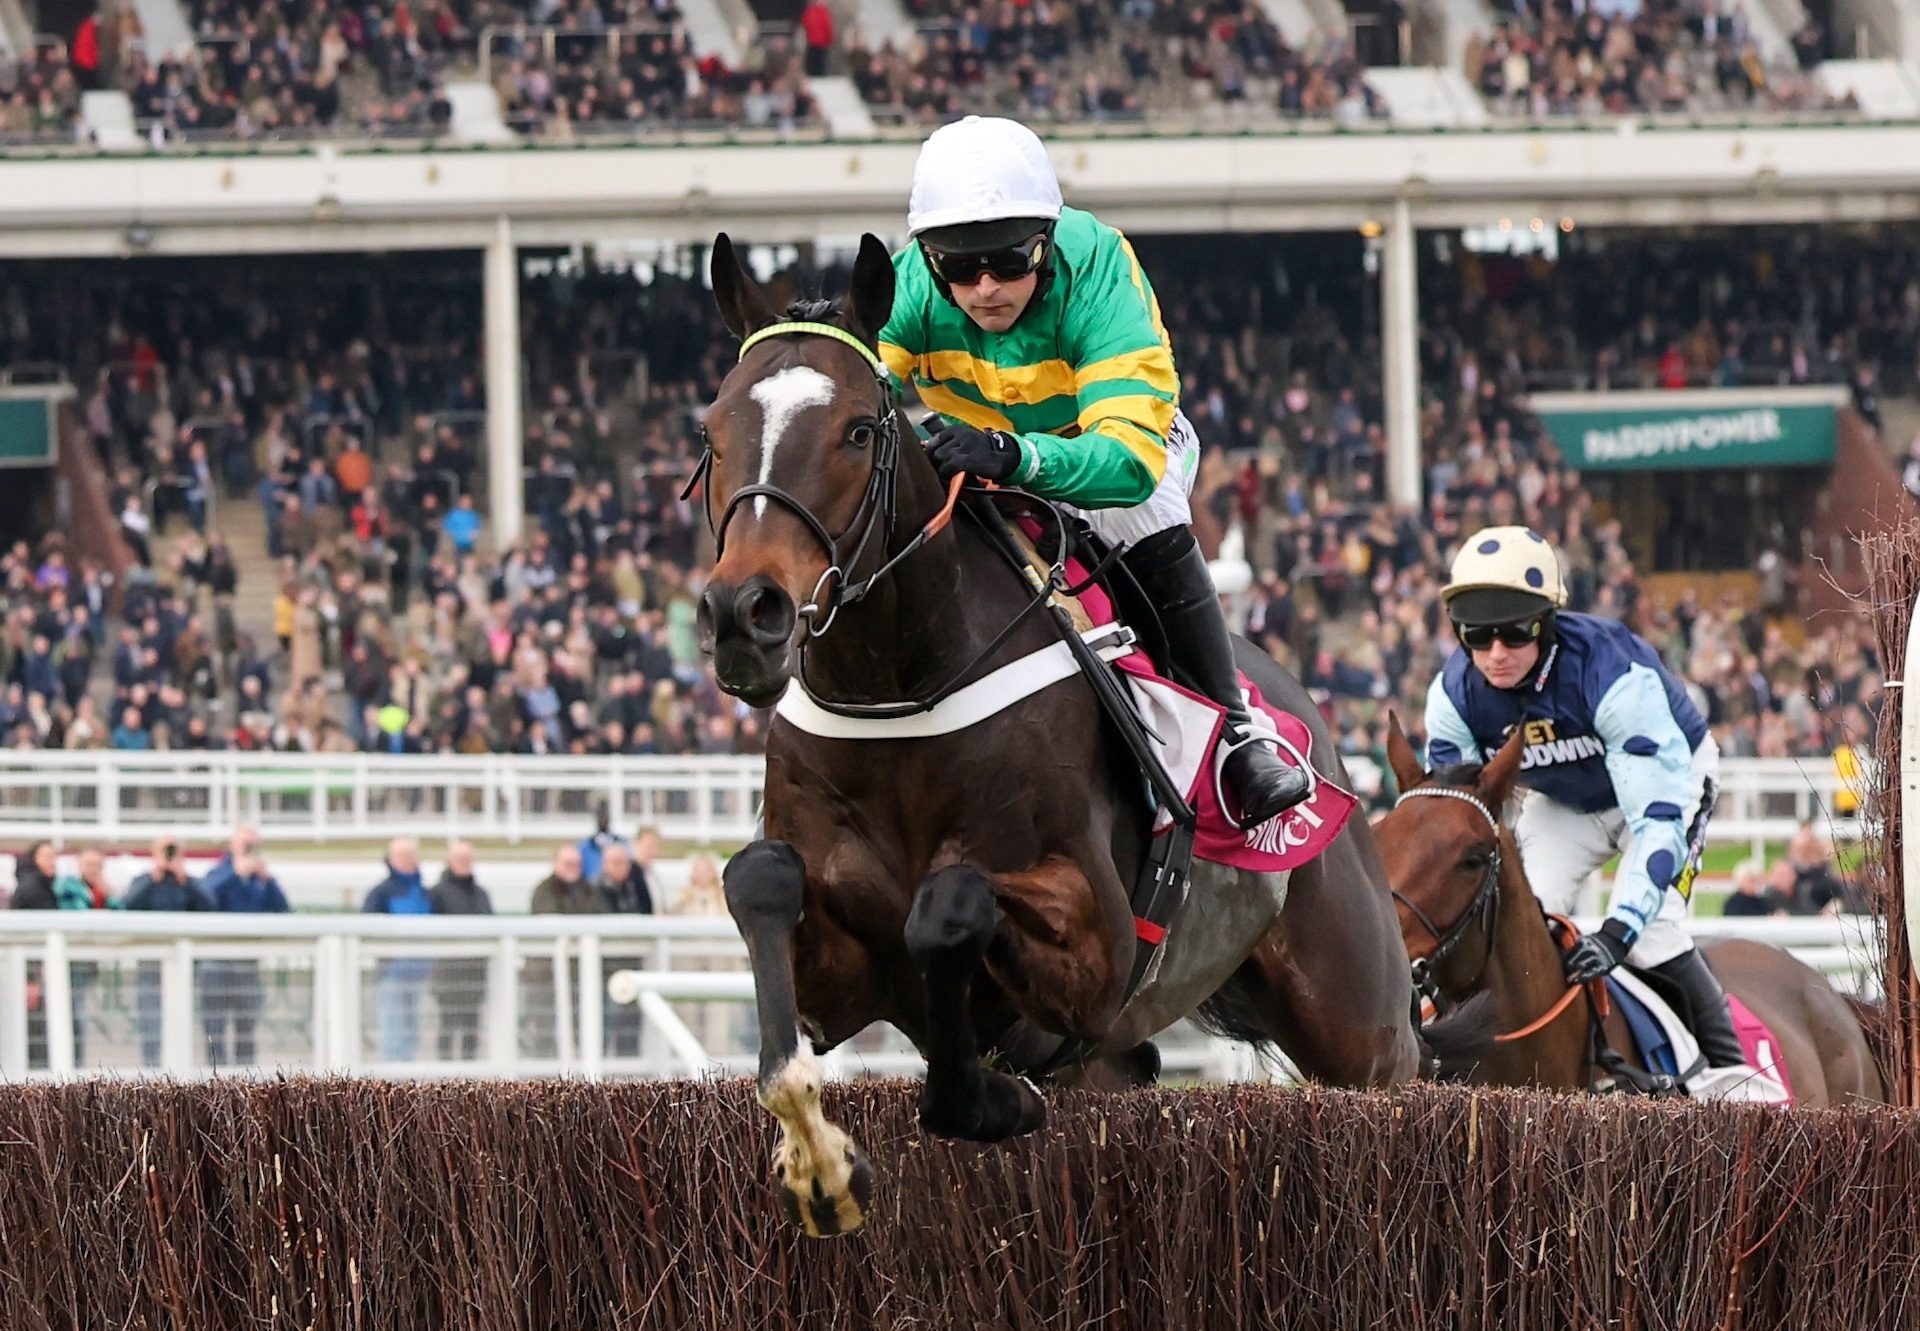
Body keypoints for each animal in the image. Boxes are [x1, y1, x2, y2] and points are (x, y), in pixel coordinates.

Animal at [698, 236, 1420, 1236]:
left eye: (857, 429)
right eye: (712, 432)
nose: (746, 613)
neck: (905, 695)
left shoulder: (1103, 946)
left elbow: (949, 907)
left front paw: (991, 1098)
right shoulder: (843, 973)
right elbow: (760, 879)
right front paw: (819, 1160)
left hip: (1365, 1029)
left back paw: (1259, 767)